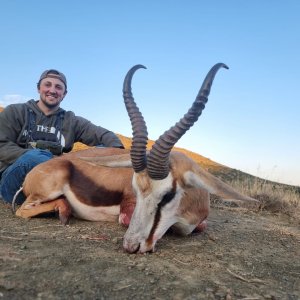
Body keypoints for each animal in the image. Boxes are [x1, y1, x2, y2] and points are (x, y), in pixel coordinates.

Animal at [14, 63, 256, 253]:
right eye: (136, 190)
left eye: (167, 195)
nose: (131, 246)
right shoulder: (126, 212)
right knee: (21, 210)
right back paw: (63, 212)